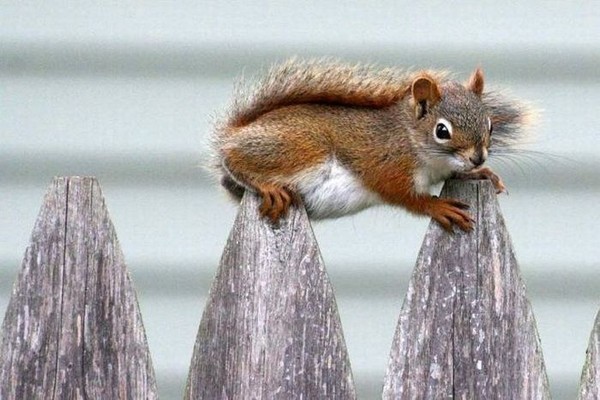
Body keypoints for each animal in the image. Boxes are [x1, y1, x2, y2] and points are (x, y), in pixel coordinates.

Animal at [212, 57, 536, 230]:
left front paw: (483, 174)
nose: (479, 158)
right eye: (442, 131)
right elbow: (403, 196)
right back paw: (263, 183)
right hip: (301, 147)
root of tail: (238, 132)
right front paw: (438, 207)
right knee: (234, 160)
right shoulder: (388, 166)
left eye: (490, 125)